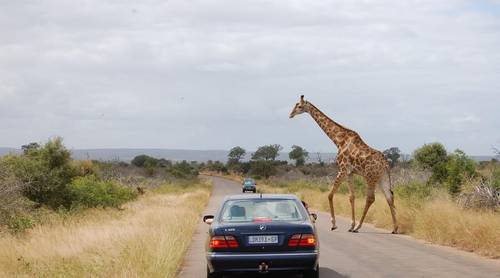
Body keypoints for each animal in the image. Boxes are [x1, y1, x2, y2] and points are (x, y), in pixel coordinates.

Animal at [290, 94, 398, 233]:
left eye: (299, 106)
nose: (291, 114)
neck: (338, 141)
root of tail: (385, 164)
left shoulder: (342, 169)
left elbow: (330, 194)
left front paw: (334, 224)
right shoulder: (349, 172)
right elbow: (352, 197)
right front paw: (350, 225)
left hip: (370, 177)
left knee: (371, 198)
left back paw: (358, 227)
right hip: (382, 177)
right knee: (389, 197)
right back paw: (395, 228)